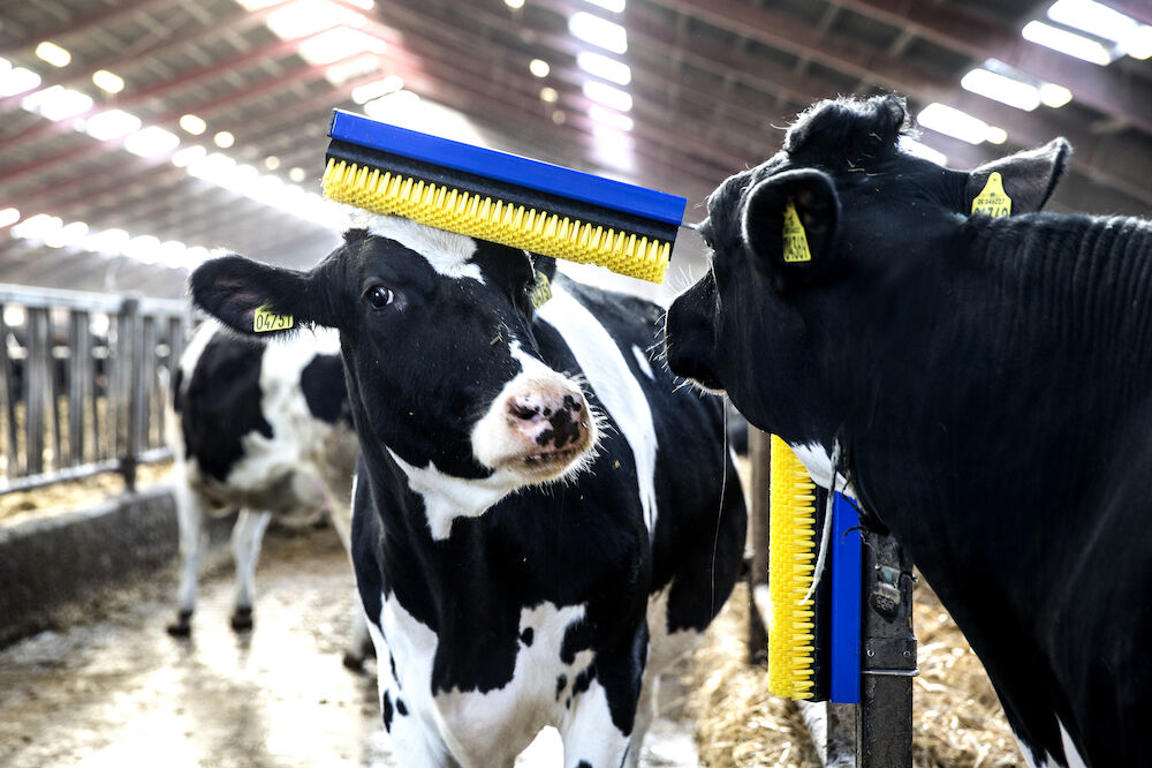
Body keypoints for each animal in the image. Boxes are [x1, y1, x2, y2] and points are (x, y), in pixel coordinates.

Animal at [165, 319, 365, 665]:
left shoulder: (184, 473)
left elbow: (191, 546)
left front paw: (183, 615)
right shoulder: (262, 485)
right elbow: (245, 540)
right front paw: (242, 611)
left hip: (343, 486)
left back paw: (356, 652)